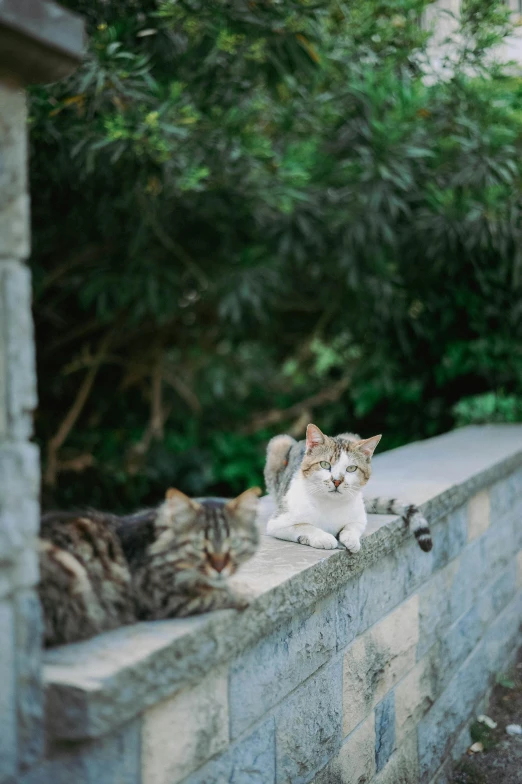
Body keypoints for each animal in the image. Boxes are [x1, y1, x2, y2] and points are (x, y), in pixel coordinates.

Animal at [38, 486, 260, 648]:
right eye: (199, 545)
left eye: (234, 544)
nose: (219, 568)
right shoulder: (162, 598)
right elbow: (214, 593)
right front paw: (242, 593)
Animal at [264, 426, 430, 556]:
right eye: (325, 464)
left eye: (351, 468)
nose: (337, 480)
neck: (330, 504)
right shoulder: (277, 523)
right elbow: (305, 526)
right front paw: (324, 538)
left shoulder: (360, 518)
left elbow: (353, 526)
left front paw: (351, 539)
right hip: (279, 443)